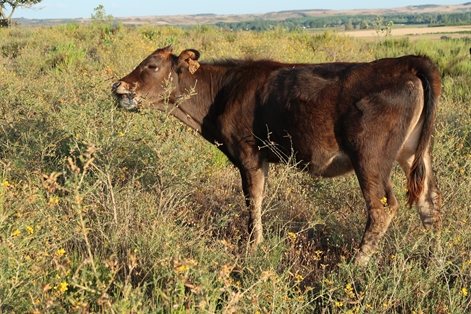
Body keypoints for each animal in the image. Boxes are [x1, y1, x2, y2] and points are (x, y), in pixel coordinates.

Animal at [111, 44, 442, 264]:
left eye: (152, 66)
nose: (118, 86)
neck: (222, 91)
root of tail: (405, 62)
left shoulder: (247, 152)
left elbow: (252, 198)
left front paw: (252, 245)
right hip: (414, 152)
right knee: (429, 203)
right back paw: (436, 261)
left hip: (370, 158)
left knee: (382, 207)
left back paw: (356, 265)